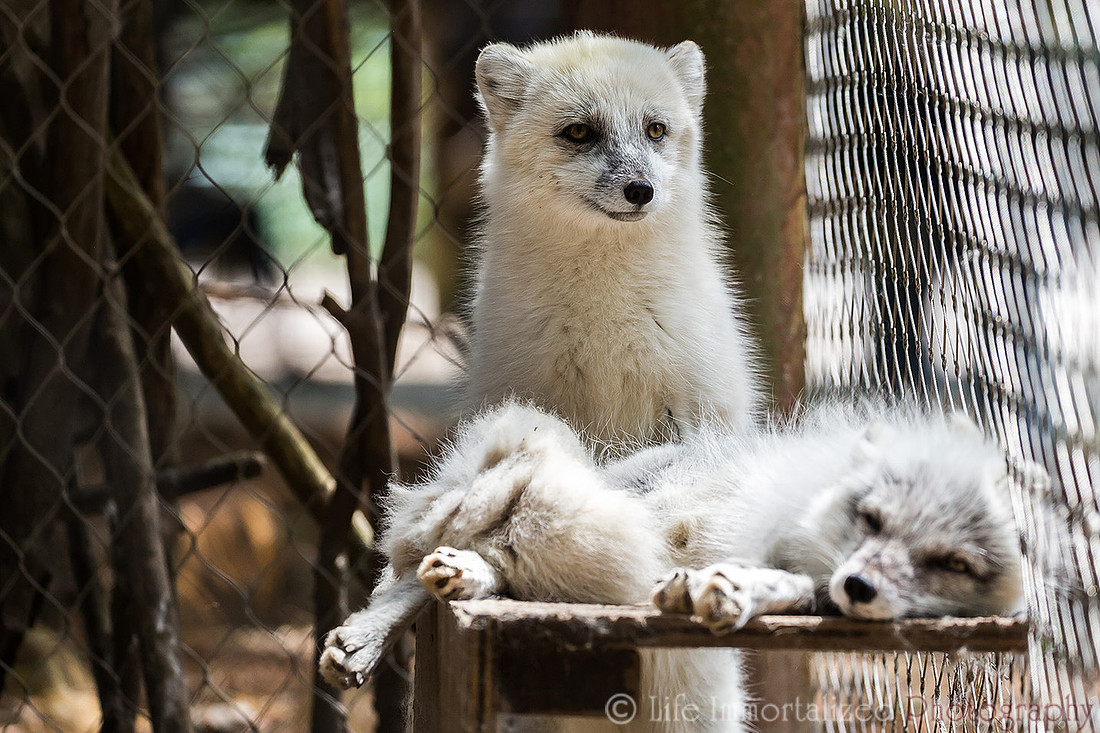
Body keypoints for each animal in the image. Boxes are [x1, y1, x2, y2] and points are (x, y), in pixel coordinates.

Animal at [320, 401, 1030, 731]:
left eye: (949, 563)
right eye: (874, 519)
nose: (860, 585)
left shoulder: (812, 585)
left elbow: (788, 588)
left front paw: (729, 591)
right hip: (598, 495)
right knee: (420, 571)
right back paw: (374, 631)